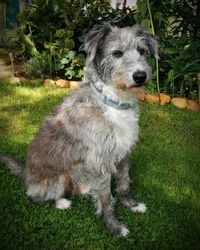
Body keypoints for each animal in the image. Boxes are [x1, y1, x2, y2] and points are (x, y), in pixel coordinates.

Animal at [0, 23, 159, 236]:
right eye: (117, 53)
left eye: (142, 51)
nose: (140, 76)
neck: (113, 100)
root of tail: (25, 172)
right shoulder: (100, 161)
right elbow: (106, 199)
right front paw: (114, 226)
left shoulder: (123, 152)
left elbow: (124, 183)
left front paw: (131, 204)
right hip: (55, 181)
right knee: (35, 195)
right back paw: (61, 202)